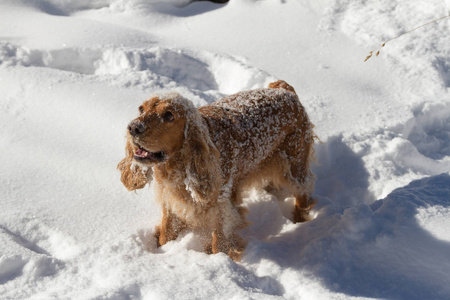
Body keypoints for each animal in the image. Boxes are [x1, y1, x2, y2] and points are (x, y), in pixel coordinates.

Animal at [119, 79, 316, 260]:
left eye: (169, 115)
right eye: (141, 109)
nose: (133, 127)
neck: (177, 168)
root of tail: (284, 89)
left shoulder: (220, 208)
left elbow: (218, 242)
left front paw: (221, 260)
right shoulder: (170, 202)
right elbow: (165, 235)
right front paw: (162, 251)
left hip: (293, 164)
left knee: (303, 193)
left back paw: (299, 223)